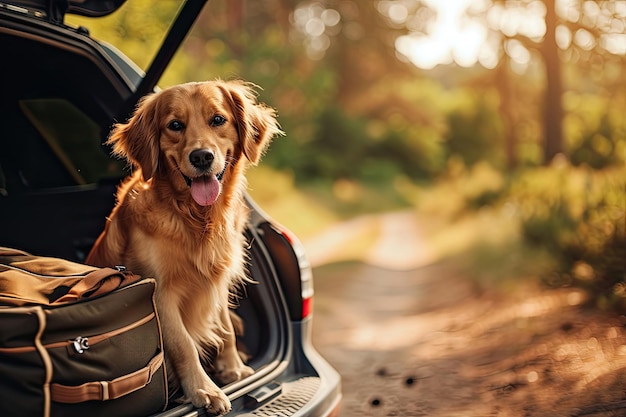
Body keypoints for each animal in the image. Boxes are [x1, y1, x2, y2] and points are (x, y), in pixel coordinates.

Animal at [86, 79, 282, 412]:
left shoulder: (218, 279)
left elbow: (225, 328)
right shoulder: (160, 294)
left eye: (217, 119)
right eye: (175, 125)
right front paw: (204, 390)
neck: (195, 218)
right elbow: (184, 344)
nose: (201, 156)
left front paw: (232, 368)